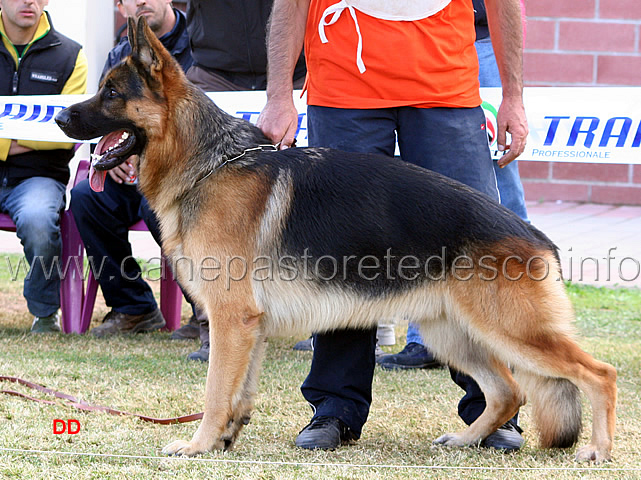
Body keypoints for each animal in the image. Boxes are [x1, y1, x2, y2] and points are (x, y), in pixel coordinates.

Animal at [55, 17, 616, 462]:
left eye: (111, 92)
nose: (58, 116)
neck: (209, 162)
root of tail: (535, 236)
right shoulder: (249, 326)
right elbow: (239, 393)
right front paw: (225, 440)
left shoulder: (232, 319)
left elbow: (215, 392)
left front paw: (198, 445)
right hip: (453, 333)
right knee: (508, 392)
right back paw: (464, 440)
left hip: (511, 331)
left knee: (598, 373)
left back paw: (598, 450)